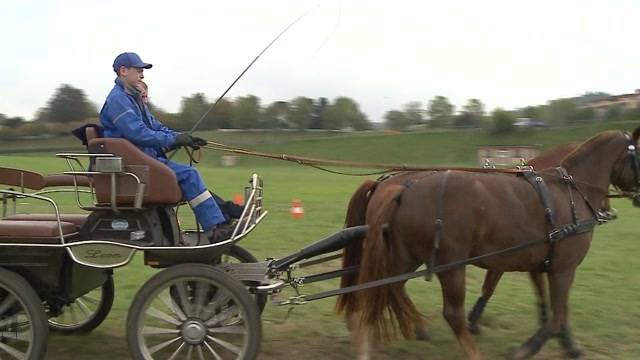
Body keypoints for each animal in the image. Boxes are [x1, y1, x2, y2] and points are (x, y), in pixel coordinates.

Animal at [342, 128, 636, 358]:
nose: (607, 210)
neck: (564, 192)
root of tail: (399, 188)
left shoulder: (539, 262)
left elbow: (550, 306)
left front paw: (565, 343)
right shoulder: (561, 268)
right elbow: (554, 313)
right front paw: (534, 346)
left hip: (405, 257)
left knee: (386, 288)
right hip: (450, 264)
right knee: (449, 312)